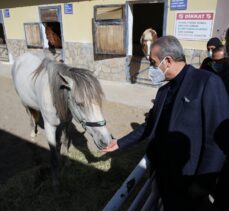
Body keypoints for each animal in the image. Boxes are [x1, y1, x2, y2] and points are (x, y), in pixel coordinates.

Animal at [11, 52, 112, 188]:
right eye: (79, 103)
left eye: (99, 101)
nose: (106, 141)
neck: (55, 95)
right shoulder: (49, 127)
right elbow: (53, 156)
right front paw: (56, 183)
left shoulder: (66, 123)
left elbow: (65, 141)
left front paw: (67, 161)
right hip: (25, 104)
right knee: (31, 116)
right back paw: (32, 132)